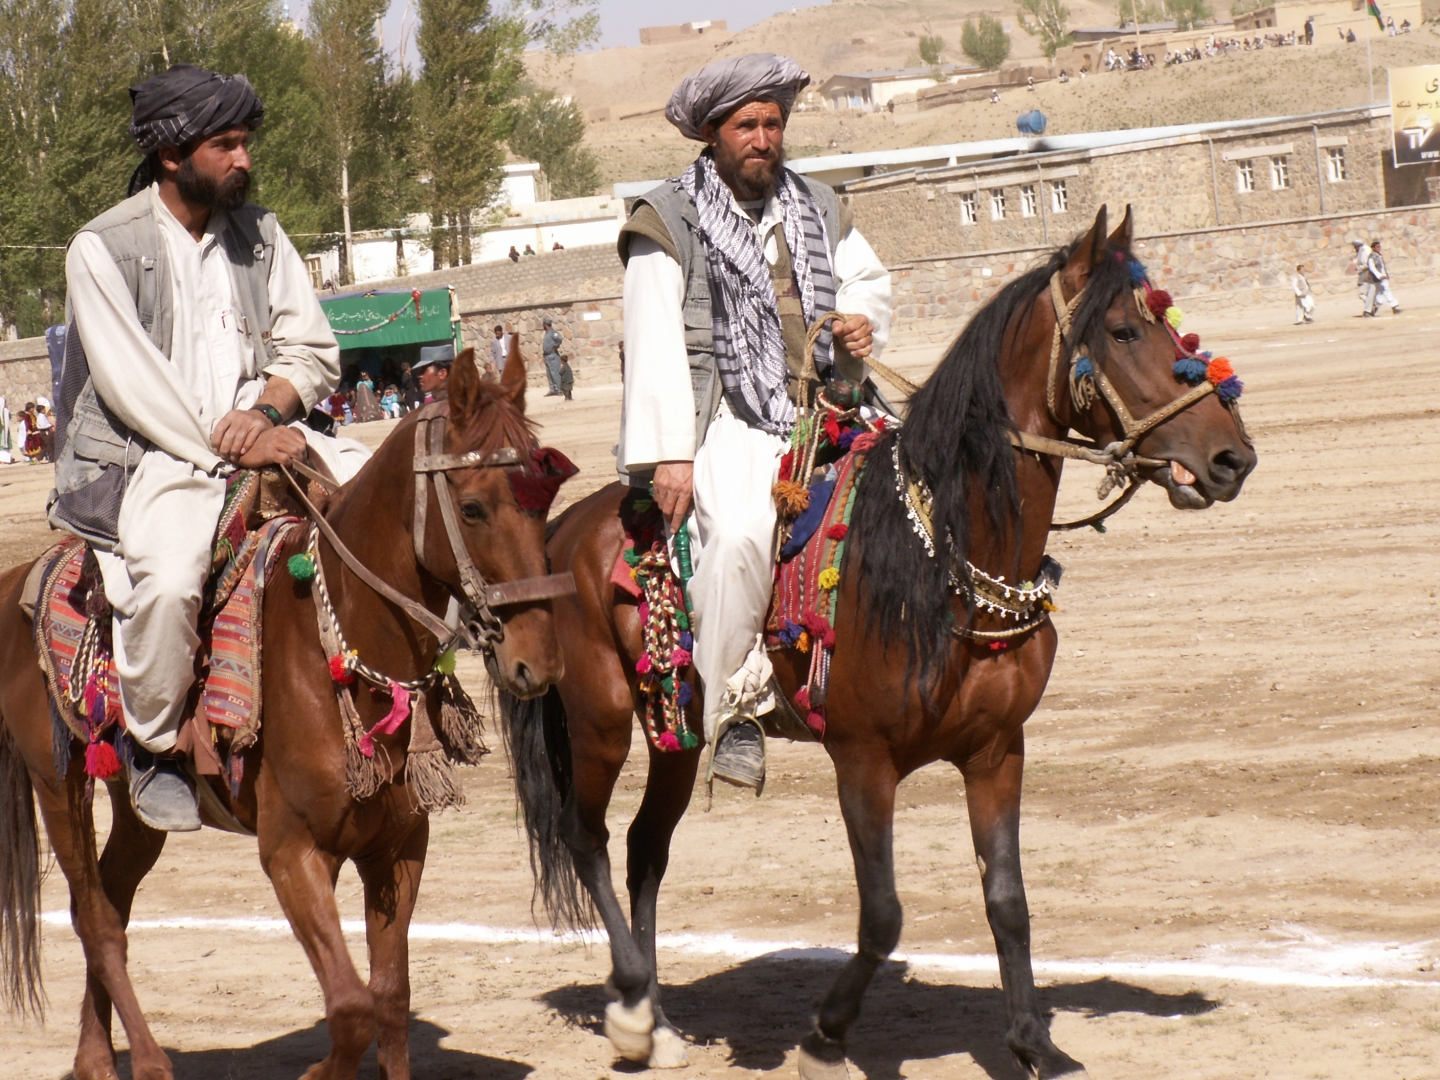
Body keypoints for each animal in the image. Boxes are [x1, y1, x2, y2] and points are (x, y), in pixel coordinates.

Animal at [0, 348, 573, 1080]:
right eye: (472, 507)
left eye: (545, 500)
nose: (538, 663)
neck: (336, 647)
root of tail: (20, 580)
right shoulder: (293, 854)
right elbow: (352, 1009)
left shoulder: (397, 847)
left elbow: (389, 1000)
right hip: (59, 785)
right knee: (95, 918)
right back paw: (145, 1063)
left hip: (132, 810)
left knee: (111, 900)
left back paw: (94, 1057)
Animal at [501, 204, 1255, 1080]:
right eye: (1126, 331)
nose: (1233, 456)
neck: (938, 555)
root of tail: (565, 528)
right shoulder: (863, 762)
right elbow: (884, 915)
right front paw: (826, 1036)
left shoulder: (997, 750)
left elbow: (1008, 899)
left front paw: (1034, 1041)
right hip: (596, 718)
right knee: (585, 837)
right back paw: (627, 1008)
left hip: (676, 732)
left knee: (644, 848)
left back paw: (654, 1018)